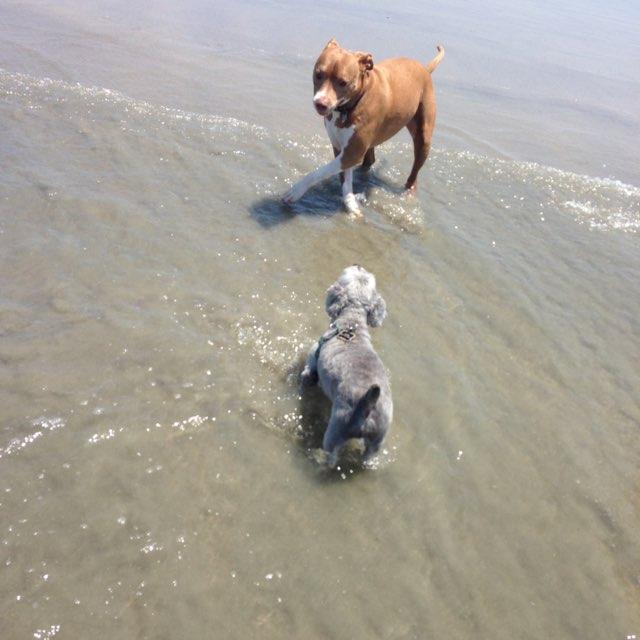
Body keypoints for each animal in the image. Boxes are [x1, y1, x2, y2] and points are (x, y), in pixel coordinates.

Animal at [283, 39, 444, 215]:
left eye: (343, 82)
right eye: (318, 74)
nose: (320, 103)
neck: (348, 107)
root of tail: (425, 69)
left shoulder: (352, 153)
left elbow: (319, 172)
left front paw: (296, 190)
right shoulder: (341, 148)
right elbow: (345, 179)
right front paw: (350, 202)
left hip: (423, 137)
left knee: (414, 173)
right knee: (370, 159)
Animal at [301, 265, 393, 466]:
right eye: (365, 275)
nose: (359, 265)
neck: (352, 324)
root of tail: (368, 408)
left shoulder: (311, 365)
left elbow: (305, 378)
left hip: (336, 430)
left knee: (332, 457)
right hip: (376, 441)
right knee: (368, 457)